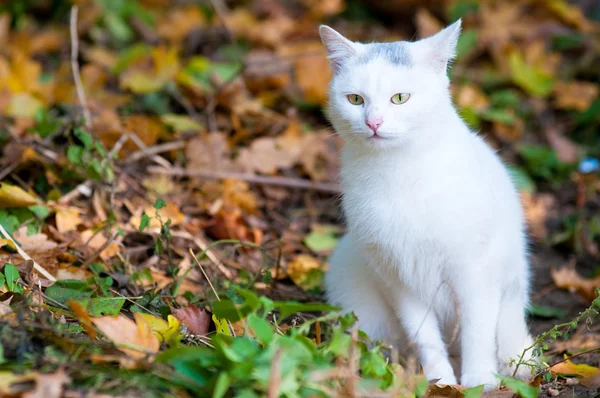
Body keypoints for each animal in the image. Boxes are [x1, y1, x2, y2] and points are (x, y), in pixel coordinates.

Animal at [322, 20, 532, 390]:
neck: (396, 171)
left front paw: (478, 380)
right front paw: (439, 380)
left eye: (400, 98)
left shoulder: (474, 271)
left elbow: (477, 330)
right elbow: (424, 334)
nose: (373, 123)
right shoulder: (397, 277)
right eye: (355, 99)